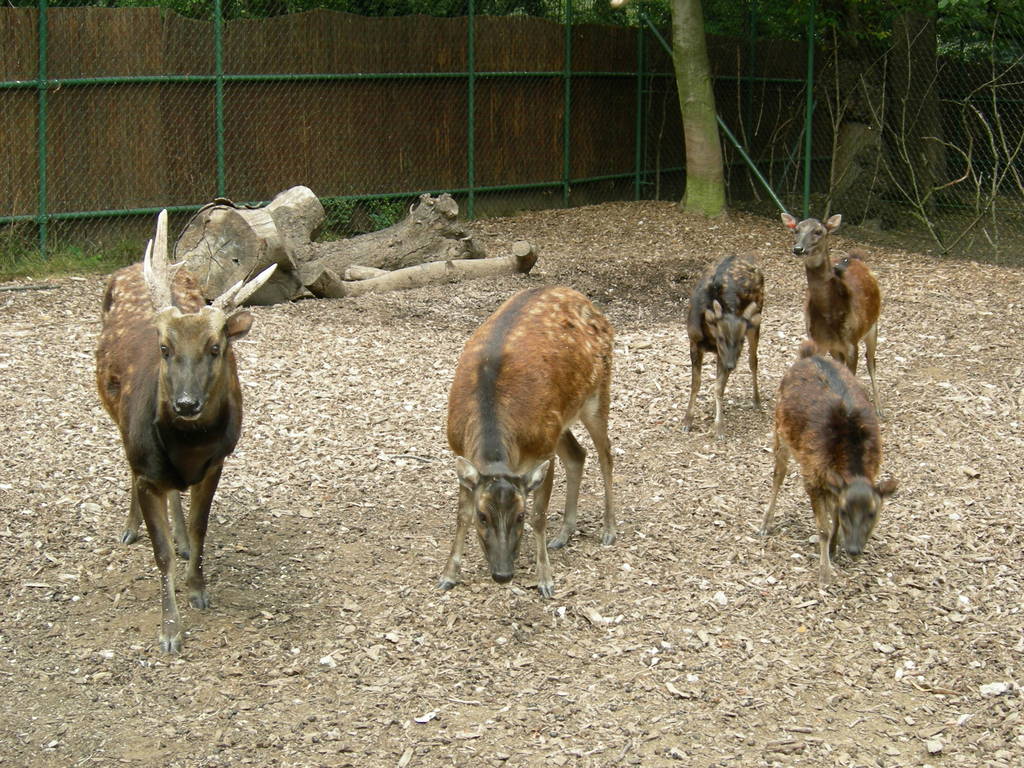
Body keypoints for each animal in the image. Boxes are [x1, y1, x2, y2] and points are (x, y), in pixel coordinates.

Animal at [95, 210, 275, 653]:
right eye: (164, 348)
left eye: (215, 347)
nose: (186, 404)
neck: (188, 450)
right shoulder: (146, 470)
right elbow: (159, 553)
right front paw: (171, 630)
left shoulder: (217, 462)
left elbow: (199, 528)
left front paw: (197, 588)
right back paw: (130, 529)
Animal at [439, 286, 616, 598]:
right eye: (483, 516)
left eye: (519, 516)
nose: (502, 574)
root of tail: (586, 300)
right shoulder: (460, 450)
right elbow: (461, 515)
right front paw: (448, 575)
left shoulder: (543, 451)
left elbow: (539, 516)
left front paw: (545, 579)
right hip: (560, 420)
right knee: (578, 454)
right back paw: (564, 534)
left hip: (597, 392)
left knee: (605, 452)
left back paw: (609, 529)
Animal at [683, 253, 764, 438]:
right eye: (720, 338)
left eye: (740, 340)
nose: (731, 365)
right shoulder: (694, 341)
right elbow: (696, 383)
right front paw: (687, 421)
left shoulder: (725, 354)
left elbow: (718, 387)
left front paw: (719, 427)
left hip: (756, 320)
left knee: (753, 360)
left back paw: (756, 400)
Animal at [760, 341, 897, 585]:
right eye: (846, 511)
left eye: (873, 513)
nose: (854, 549)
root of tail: (808, 354)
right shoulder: (812, 477)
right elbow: (823, 528)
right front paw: (825, 572)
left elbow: (833, 518)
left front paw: (834, 549)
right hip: (779, 430)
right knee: (778, 475)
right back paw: (766, 523)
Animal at [781, 212, 882, 416]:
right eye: (796, 230)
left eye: (818, 231)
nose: (798, 249)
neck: (831, 316)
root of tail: (856, 257)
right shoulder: (819, 341)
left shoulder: (852, 343)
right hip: (837, 347)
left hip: (873, 326)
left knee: (871, 362)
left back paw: (878, 408)